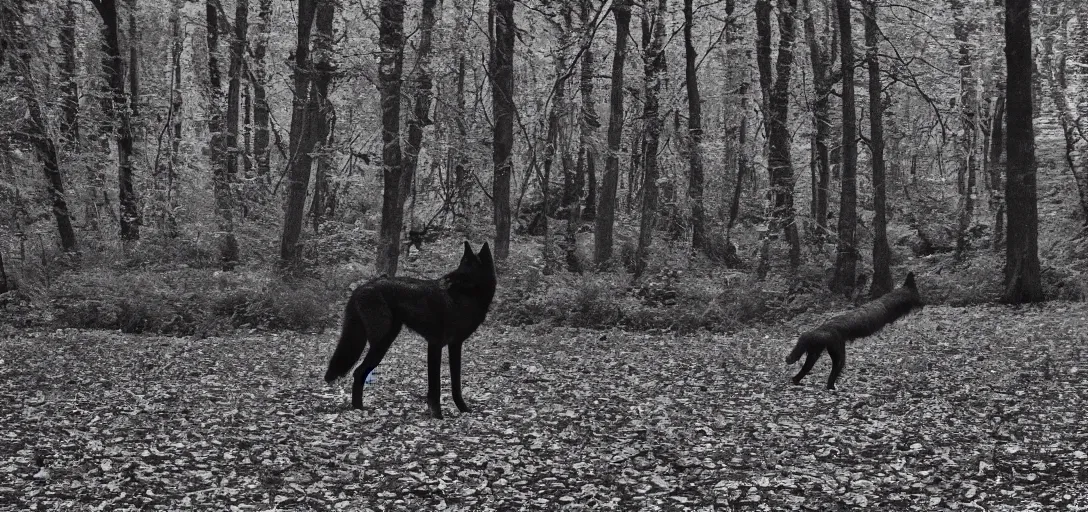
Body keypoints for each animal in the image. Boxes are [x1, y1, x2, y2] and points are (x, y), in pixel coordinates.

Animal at [324, 242, 498, 419]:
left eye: (463, 271)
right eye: (460, 266)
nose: (445, 279)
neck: (463, 300)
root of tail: (360, 288)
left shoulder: (455, 346)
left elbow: (456, 384)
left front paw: (463, 409)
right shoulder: (435, 345)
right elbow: (435, 386)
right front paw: (437, 415)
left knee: (359, 372)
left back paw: (357, 408)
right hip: (381, 343)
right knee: (359, 372)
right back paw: (359, 409)